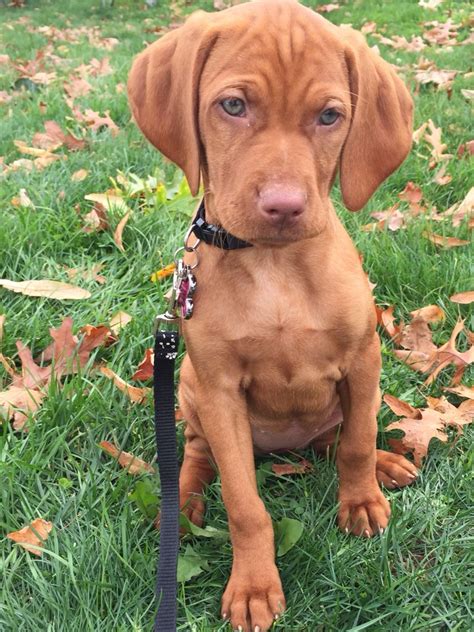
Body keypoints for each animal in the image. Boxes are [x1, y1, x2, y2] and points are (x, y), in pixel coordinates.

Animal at [128, 2, 416, 628]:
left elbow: (357, 442)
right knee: (194, 456)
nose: (284, 207)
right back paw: (182, 504)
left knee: (338, 437)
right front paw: (254, 587)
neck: (276, 268)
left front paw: (362, 501)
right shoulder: (220, 389)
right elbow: (244, 505)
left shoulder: (364, 357)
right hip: (190, 390)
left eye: (330, 116)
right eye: (233, 106)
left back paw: (386, 464)